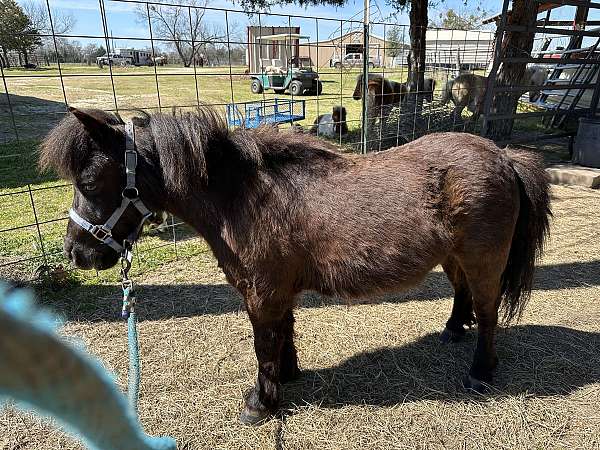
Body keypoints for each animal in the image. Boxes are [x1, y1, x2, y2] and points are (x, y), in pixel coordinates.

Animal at [39, 106, 552, 426]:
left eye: (90, 181)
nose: (77, 254)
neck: (242, 199)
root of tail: (503, 155)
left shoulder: (262, 292)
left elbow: (264, 343)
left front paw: (260, 402)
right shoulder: (277, 291)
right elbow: (283, 333)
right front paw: (286, 379)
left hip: (485, 259)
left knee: (488, 312)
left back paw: (480, 372)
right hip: (454, 257)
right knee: (463, 294)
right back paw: (452, 330)